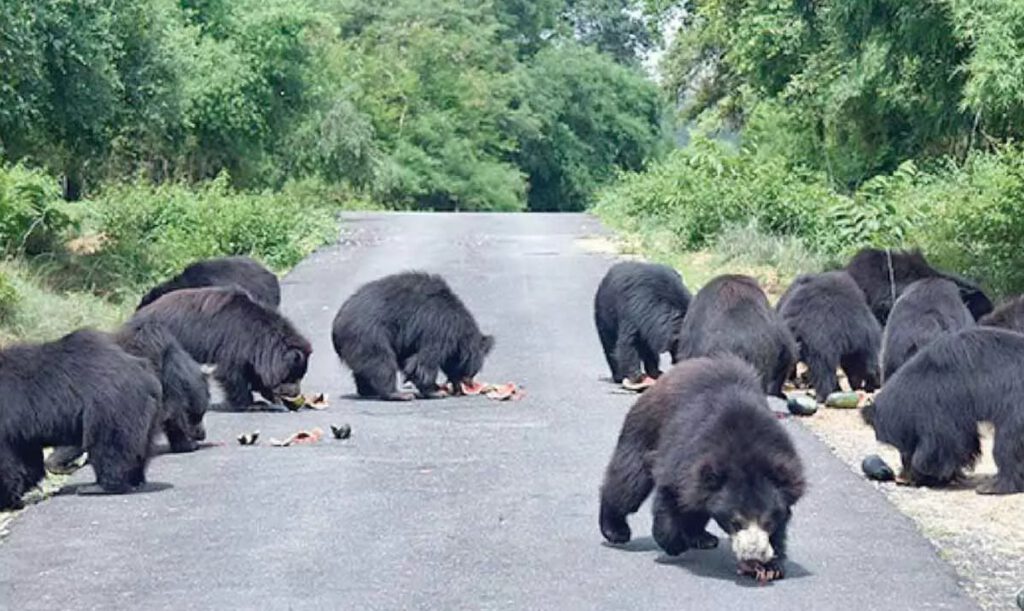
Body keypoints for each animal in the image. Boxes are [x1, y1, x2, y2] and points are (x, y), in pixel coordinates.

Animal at [0, 329, 161, 510]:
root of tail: (147, 375)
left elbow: (7, 464)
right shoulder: (21, 432)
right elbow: (27, 461)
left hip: (111, 407)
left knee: (109, 447)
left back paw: (99, 487)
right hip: (146, 412)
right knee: (139, 448)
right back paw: (135, 480)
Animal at [132, 287, 311, 411]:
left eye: (299, 376)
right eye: (292, 376)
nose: (295, 395)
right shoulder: (232, 342)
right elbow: (230, 373)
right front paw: (252, 404)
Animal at [332, 271, 493, 401]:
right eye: (471, 370)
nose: (469, 385)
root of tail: (336, 324)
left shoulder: (408, 340)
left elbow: (409, 361)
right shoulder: (438, 329)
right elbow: (423, 362)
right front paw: (436, 391)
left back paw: (368, 391)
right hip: (368, 335)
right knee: (381, 361)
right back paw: (398, 394)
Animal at [599, 356, 805, 583]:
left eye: (768, 522)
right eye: (736, 522)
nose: (753, 553)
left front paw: (770, 566)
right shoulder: (684, 457)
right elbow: (670, 495)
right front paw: (675, 544)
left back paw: (702, 537)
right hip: (644, 429)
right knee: (629, 481)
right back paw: (616, 530)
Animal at [862, 327, 1024, 495]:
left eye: (901, 446)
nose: (902, 479)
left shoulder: (940, 402)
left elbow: (942, 444)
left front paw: (922, 475)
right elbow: (963, 441)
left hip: (1016, 409)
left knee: (1006, 443)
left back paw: (993, 486)